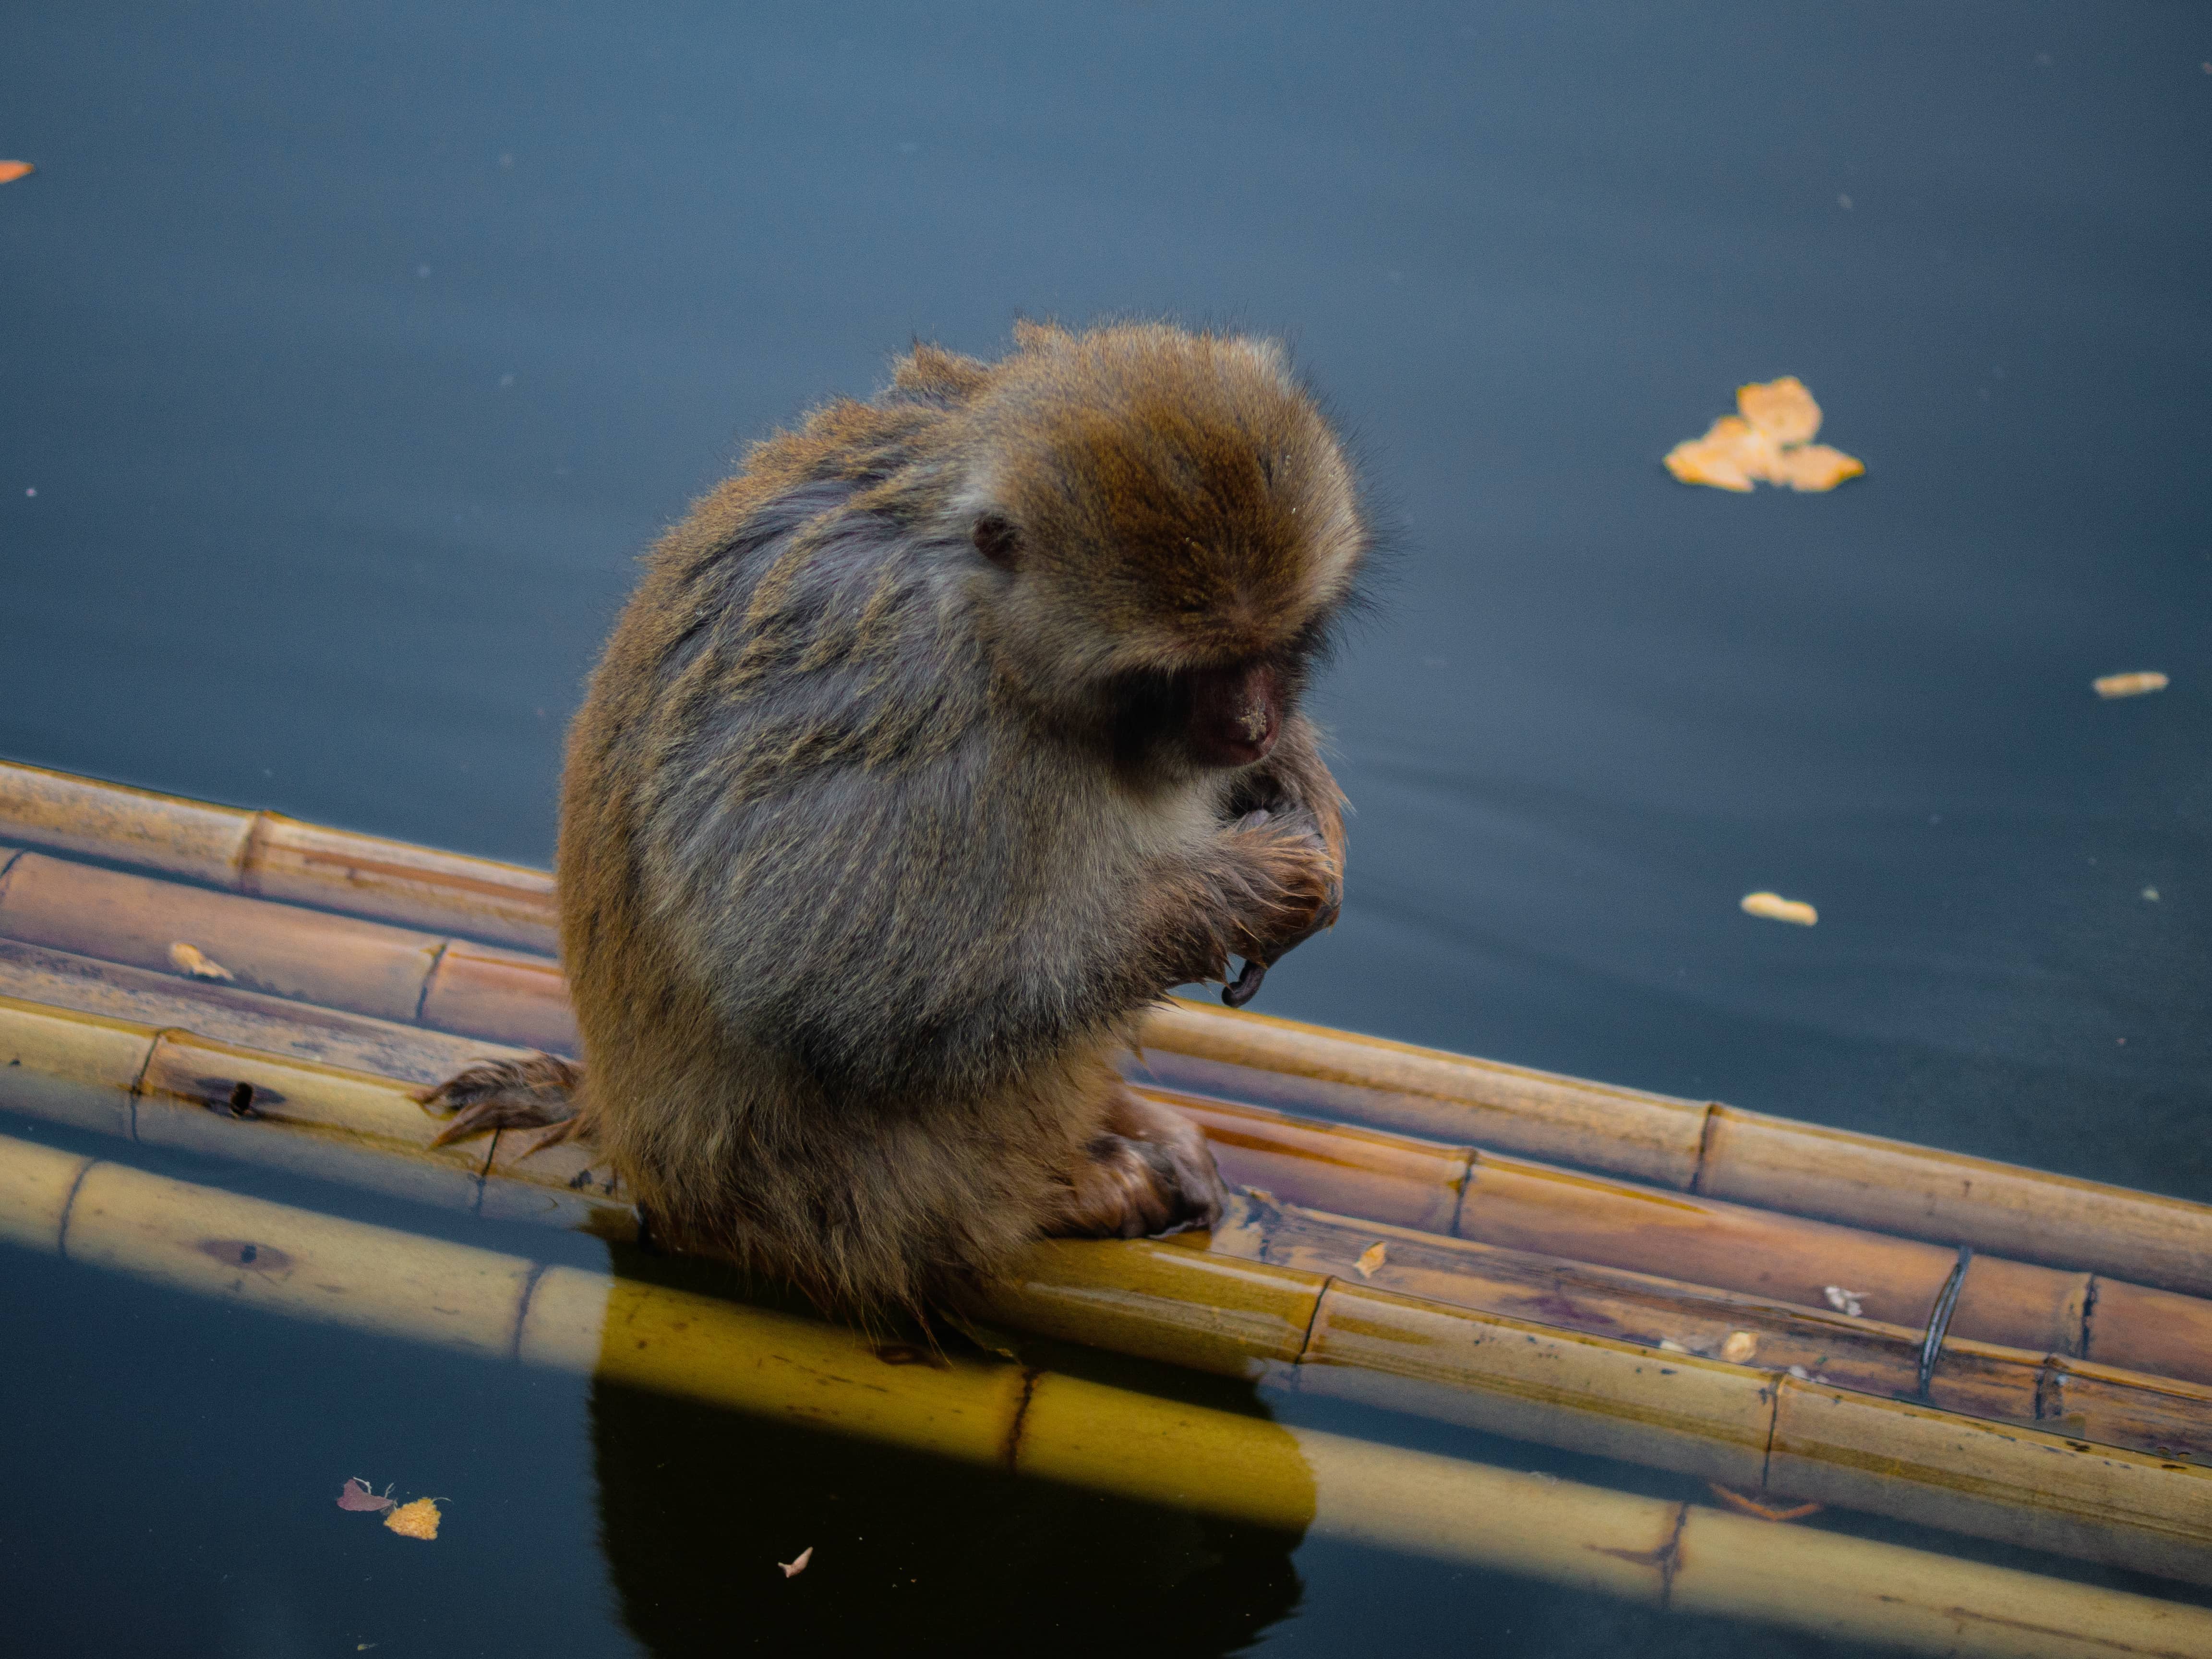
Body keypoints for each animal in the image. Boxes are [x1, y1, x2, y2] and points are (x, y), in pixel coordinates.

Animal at [418, 318, 1362, 1318]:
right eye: (1183, 674)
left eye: (1272, 647)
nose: (1251, 725)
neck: (991, 624)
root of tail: (622, 1132)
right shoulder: (919, 701)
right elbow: (833, 977)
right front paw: (1248, 885)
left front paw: (1298, 784)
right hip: (834, 1199)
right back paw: (1067, 1188)